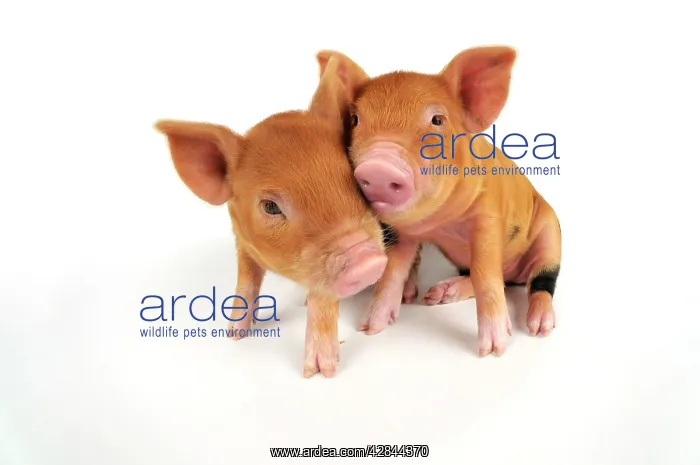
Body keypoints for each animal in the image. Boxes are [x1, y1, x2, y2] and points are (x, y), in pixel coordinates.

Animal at [153, 56, 388, 378]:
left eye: (353, 178)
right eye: (270, 207)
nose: (366, 260)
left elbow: (322, 299)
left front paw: (318, 372)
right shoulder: (241, 240)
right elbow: (246, 280)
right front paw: (234, 334)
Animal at [315, 46, 562, 357]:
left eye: (437, 120)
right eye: (356, 119)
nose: (379, 166)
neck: (439, 222)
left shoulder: (489, 216)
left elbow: (486, 274)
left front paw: (493, 350)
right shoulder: (402, 233)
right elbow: (392, 273)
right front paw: (370, 328)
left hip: (552, 233)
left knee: (541, 280)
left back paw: (539, 326)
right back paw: (437, 295)